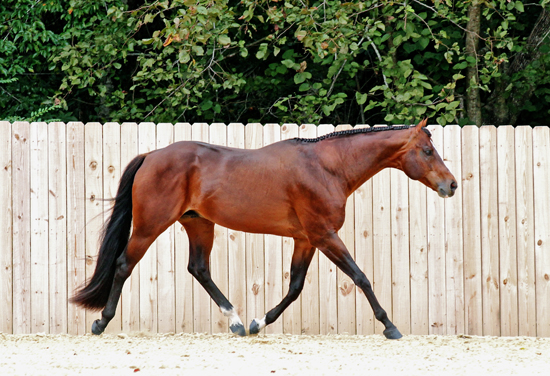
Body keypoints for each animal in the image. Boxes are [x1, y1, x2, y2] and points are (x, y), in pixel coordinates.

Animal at [72, 119, 458, 340]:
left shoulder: (306, 239)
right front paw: (389, 326)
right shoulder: (324, 235)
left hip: (199, 224)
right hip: (150, 226)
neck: (327, 167)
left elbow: (295, 287)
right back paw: (101, 323)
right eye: (427, 150)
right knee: (124, 265)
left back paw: (237, 323)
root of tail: (151, 156)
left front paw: (260, 322)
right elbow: (360, 277)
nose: (451, 185)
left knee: (199, 269)